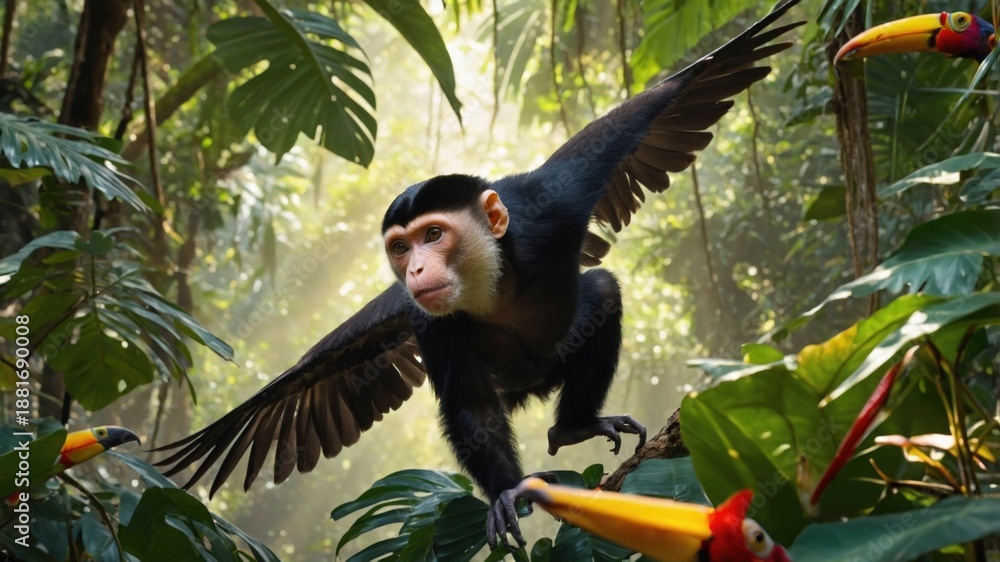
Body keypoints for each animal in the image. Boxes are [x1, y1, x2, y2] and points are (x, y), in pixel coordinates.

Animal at [154, 0, 802, 550]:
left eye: (432, 236)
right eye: (400, 248)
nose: (415, 267)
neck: (492, 282)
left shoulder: (553, 203)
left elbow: (650, 104)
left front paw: (715, 61)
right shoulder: (425, 317)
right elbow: (467, 409)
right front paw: (510, 491)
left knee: (601, 292)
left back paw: (573, 426)